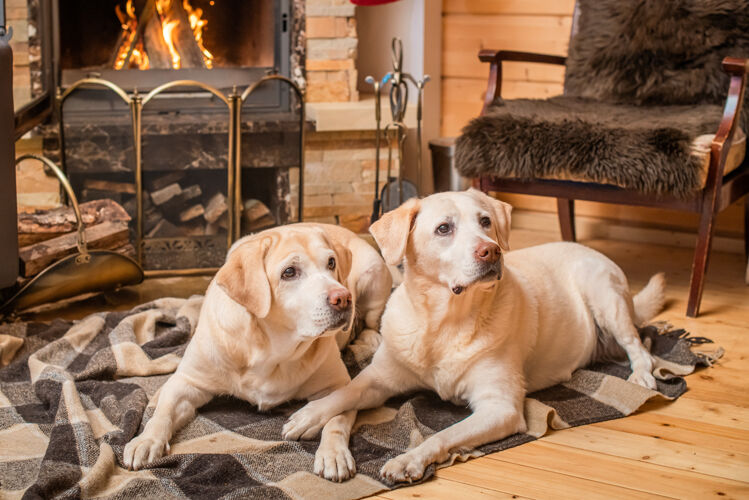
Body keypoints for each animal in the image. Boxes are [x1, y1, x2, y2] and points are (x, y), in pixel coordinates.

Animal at [122, 223, 392, 480]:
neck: (273, 349)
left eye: (331, 263)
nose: (343, 298)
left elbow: (335, 416)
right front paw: (146, 441)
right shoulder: (187, 382)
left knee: (372, 320)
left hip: (374, 276)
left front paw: (333, 453)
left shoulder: (338, 385)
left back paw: (371, 338)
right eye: (289, 272)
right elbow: (162, 412)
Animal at [284, 189, 664, 482]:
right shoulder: (381, 378)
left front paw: (409, 460)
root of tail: (589, 249)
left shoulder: (501, 407)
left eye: (485, 222)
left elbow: (444, 435)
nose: (491, 250)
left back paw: (643, 376)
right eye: (443, 228)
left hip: (605, 297)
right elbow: (344, 392)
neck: (444, 322)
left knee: (639, 344)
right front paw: (308, 416)